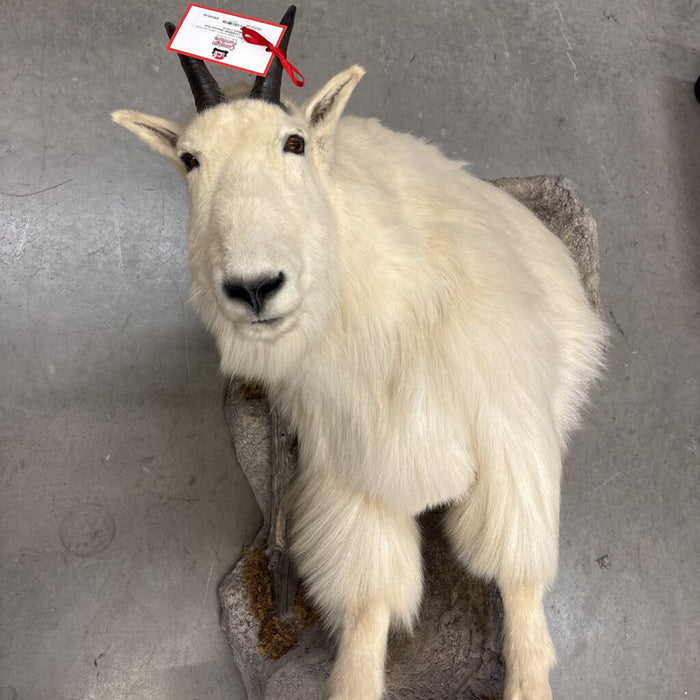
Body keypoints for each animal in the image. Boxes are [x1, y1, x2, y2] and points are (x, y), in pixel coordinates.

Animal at [112, 7, 606, 699]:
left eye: (293, 143)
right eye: (189, 159)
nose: (254, 288)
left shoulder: (512, 446)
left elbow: (522, 596)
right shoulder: (355, 483)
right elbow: (367, 621)